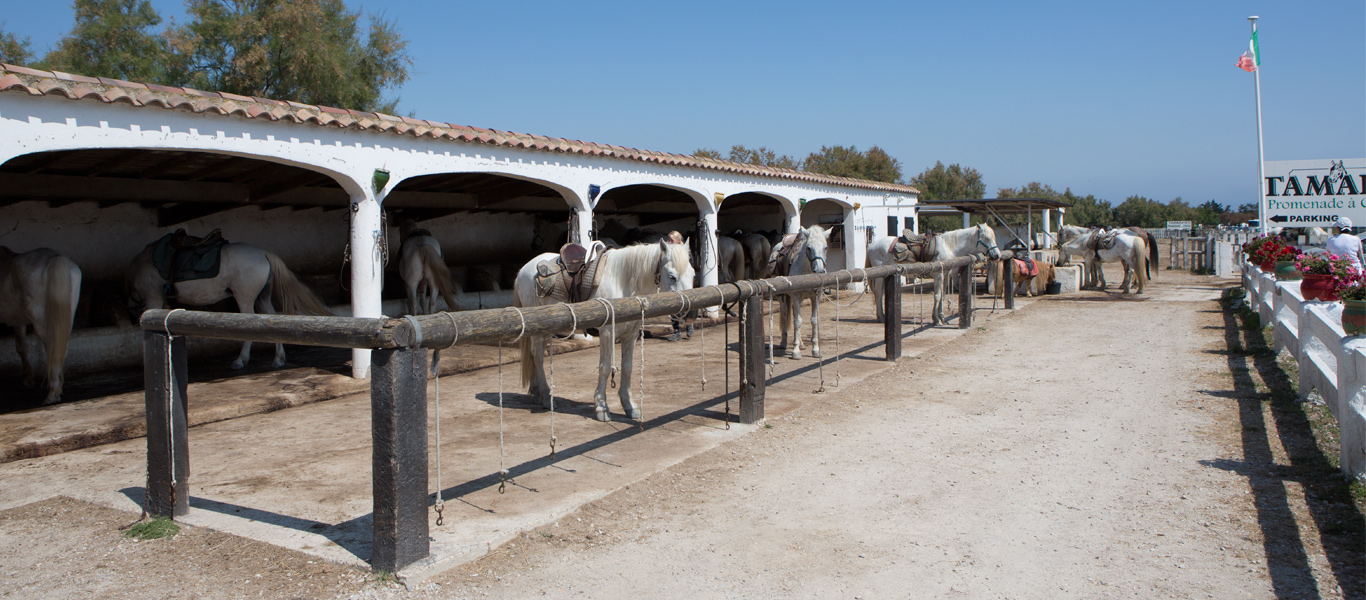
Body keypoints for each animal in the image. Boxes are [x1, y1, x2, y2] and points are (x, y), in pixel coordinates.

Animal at [0, 246, 80, 407]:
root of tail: (55, 257)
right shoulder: (18, 321)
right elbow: (22, 347)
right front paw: (27, 380)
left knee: (52, 349)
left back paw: (52, 394)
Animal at [516, 239, 699, 423]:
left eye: (693, 274)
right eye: (672, 276)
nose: (692, 314)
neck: (622, 283)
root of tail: (524, 269)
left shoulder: (631, 335)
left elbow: (627, 367)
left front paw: (630, 406)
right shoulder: (607, 333)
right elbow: (604, 368)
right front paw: (602, 408)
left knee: (534, 354)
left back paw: (536, 392)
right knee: (538, 356)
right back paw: (547, 397)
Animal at [770, 224, 830, 358]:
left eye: (825, 247)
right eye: (808, 247)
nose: (819, 271)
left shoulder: (816, 297)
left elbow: (814, 321)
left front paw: (816, 350)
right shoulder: (796, 296)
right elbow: (798, 321)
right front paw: (795, 351)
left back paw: (801, 343)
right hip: (783, 297)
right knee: (785, 313)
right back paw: (784, 342)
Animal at [863, 225, 1005, 326]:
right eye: (986, 238)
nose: (997, 255)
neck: (948, 247)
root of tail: (872, 245)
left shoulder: (945, 276)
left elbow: (942, 296)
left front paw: (941, 317)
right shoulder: (938, 276)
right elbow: (937, 296)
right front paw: (936, 319)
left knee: (879, 293)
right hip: (880, 276)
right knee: (879, 293)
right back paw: (881, 317)